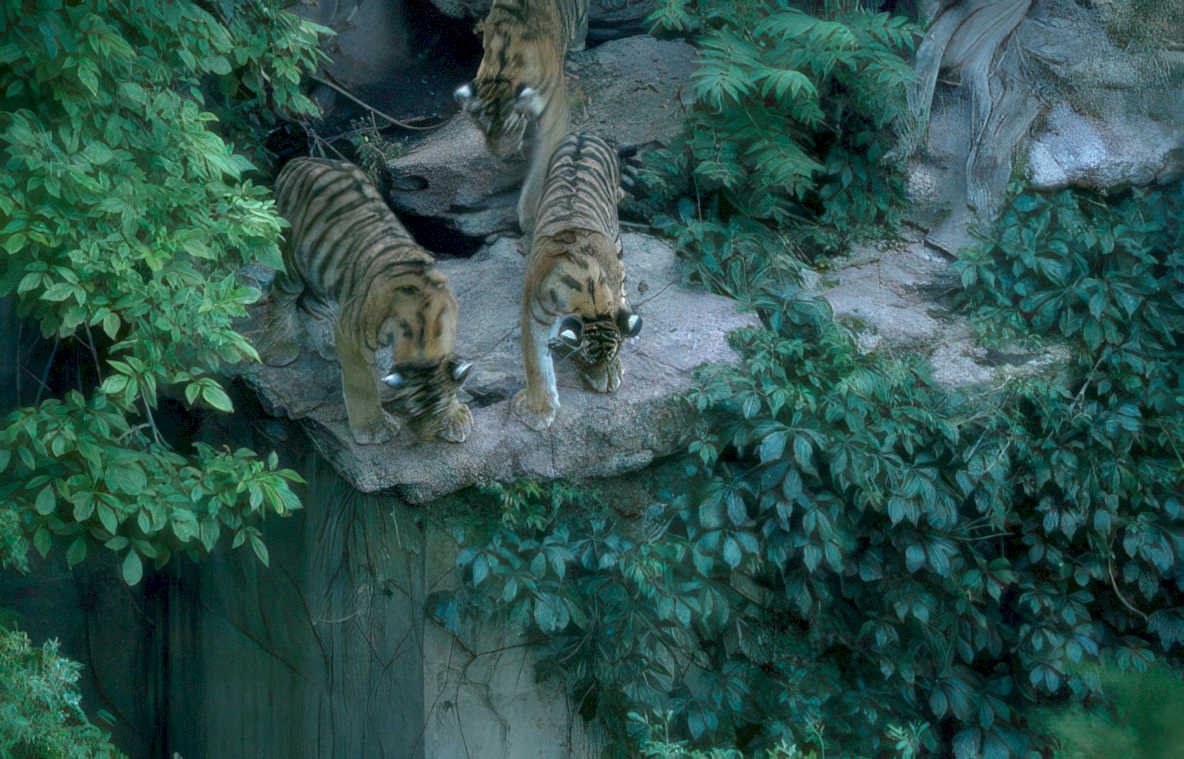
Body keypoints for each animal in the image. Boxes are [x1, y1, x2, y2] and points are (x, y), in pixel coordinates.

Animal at [261, 157, 474, 446]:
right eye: (413, 410)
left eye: (439, 409)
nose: (425, 437)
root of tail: (299, 160)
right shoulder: (353, 335)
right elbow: (361, 382)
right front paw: (373, 429)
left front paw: (455, 417)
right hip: (291, 259)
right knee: (281, 294)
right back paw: (280, 348)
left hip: (326, 272)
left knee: (310, 302)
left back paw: (327, 345)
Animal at [453, 0, 589, 235]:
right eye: (482, 128)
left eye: (510, 129)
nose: (499, 156)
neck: (501, 73)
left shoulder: (553, 119)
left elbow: (539, 169)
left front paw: (529, 217)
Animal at [512, 133, 642, 431]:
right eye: (585, 358)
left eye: (612, 354)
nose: (603, 385)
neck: (592, 296)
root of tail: (585, 134)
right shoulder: (534, 312)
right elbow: (536, 362)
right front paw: (539, 411)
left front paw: (611, 373)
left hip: (615, 231)